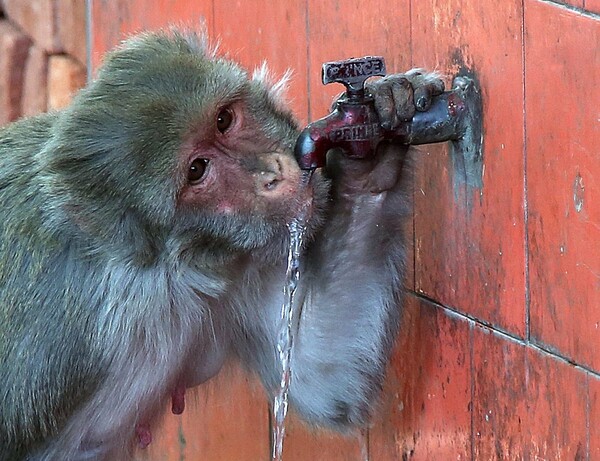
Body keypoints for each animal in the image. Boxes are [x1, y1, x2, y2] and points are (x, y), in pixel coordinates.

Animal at [0, 29, 440, 460]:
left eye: (224, 119)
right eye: (197, 170)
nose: (272, 173)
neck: (155, 264)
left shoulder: (233, 267)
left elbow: (318, 376)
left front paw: (372, 146)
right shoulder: (62, 330)